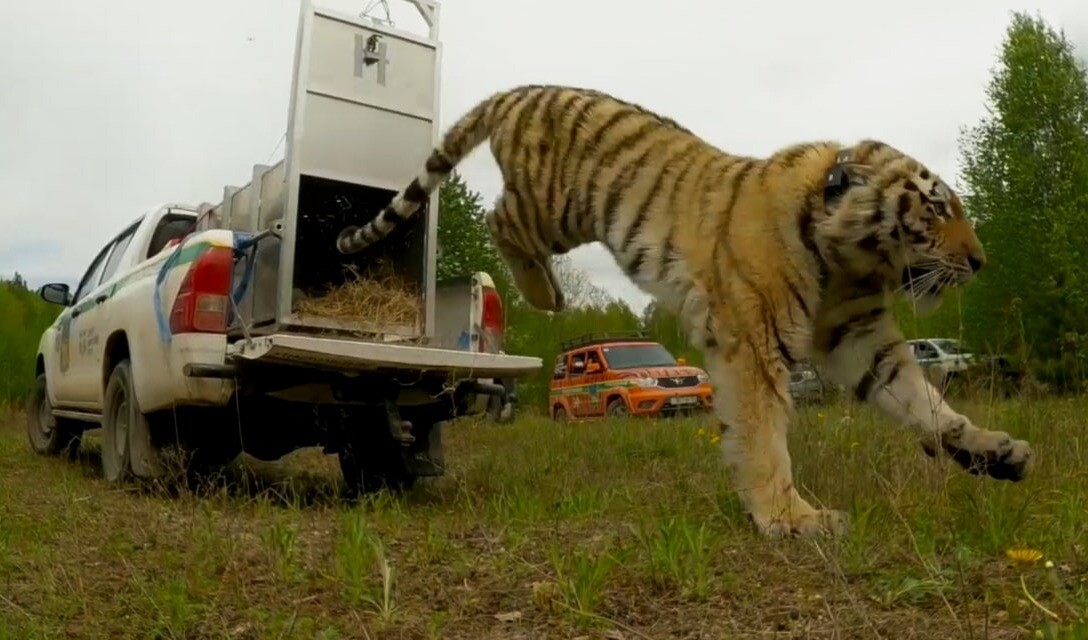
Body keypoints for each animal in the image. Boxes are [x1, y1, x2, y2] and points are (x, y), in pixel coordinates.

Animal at [335, 82, 1031, 537]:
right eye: (936, 209)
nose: (981, 262)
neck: (845, 253)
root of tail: (522, 89)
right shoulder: (755, 342)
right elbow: (763, 435)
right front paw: (791, 518)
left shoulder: (861, 337)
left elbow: (926, 402)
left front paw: (992, 451)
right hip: (556, 205)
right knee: (497, 216)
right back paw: (545, 295)